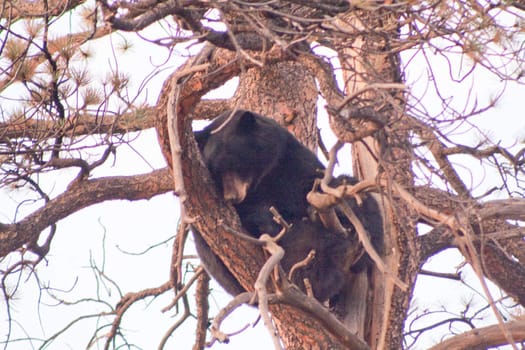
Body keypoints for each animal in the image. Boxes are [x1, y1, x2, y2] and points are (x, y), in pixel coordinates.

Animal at [192, 110, 380, 304]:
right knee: (305, 247)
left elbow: (315, 183)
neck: (263, 178)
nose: (232, 198)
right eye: (216, 172)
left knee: (357, 192)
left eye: (235, 164)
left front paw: (338, 209)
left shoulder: (289, 157)